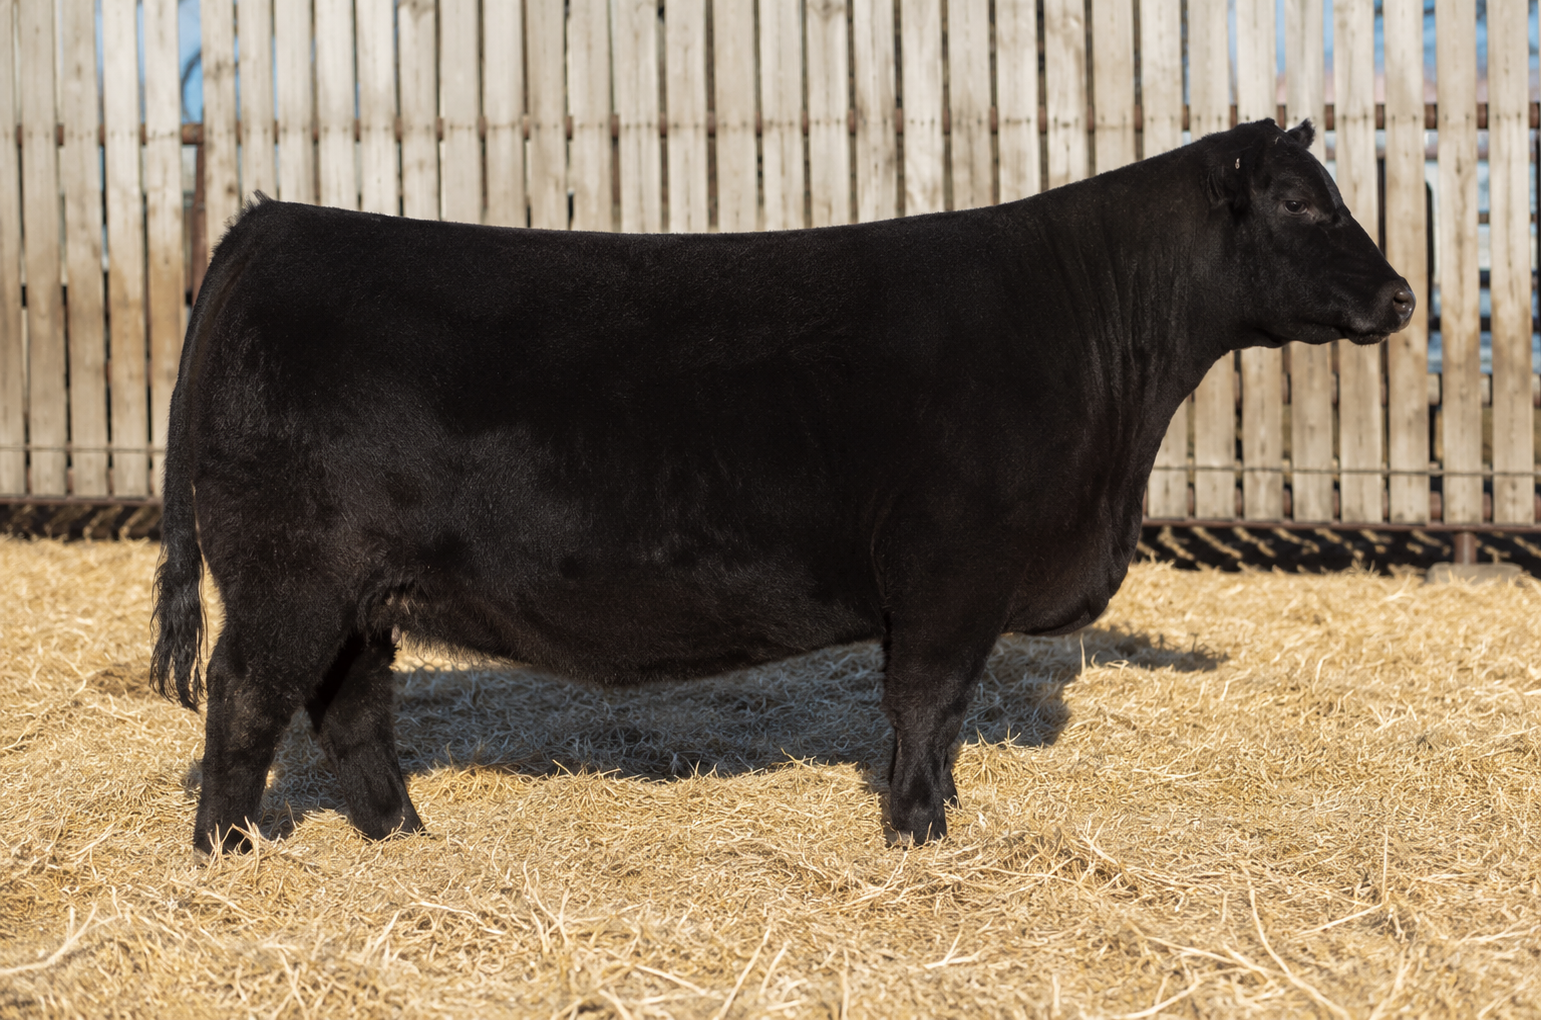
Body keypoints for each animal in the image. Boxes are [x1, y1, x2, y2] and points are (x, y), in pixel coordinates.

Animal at [151, 119, 1413, 853]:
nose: (1401, 296)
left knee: (349, 709)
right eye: (1300, 202)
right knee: (246, 697)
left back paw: (406, 838)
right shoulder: (950, 581)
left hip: (359, 591)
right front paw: (918, 834)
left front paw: (933, 820)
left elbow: (931, 721)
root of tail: (271, 225)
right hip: (291, 575)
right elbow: (927, 712)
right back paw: (229, 853)